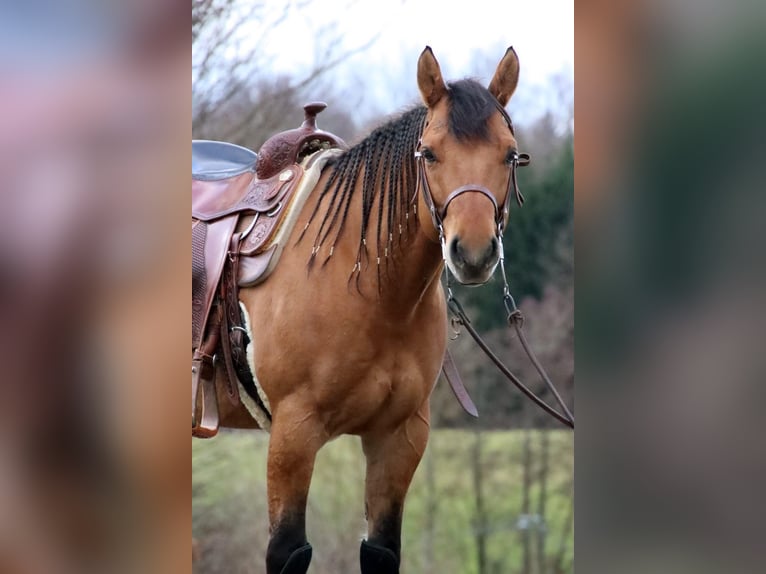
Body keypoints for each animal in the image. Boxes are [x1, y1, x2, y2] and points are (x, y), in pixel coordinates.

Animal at [220, 46, 525, 574]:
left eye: (508, 154)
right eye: (430, 153)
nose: (473, 253)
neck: (373, 295)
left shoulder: (399, 438)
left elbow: (380, 550)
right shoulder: (292, 434)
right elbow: (288, 551)